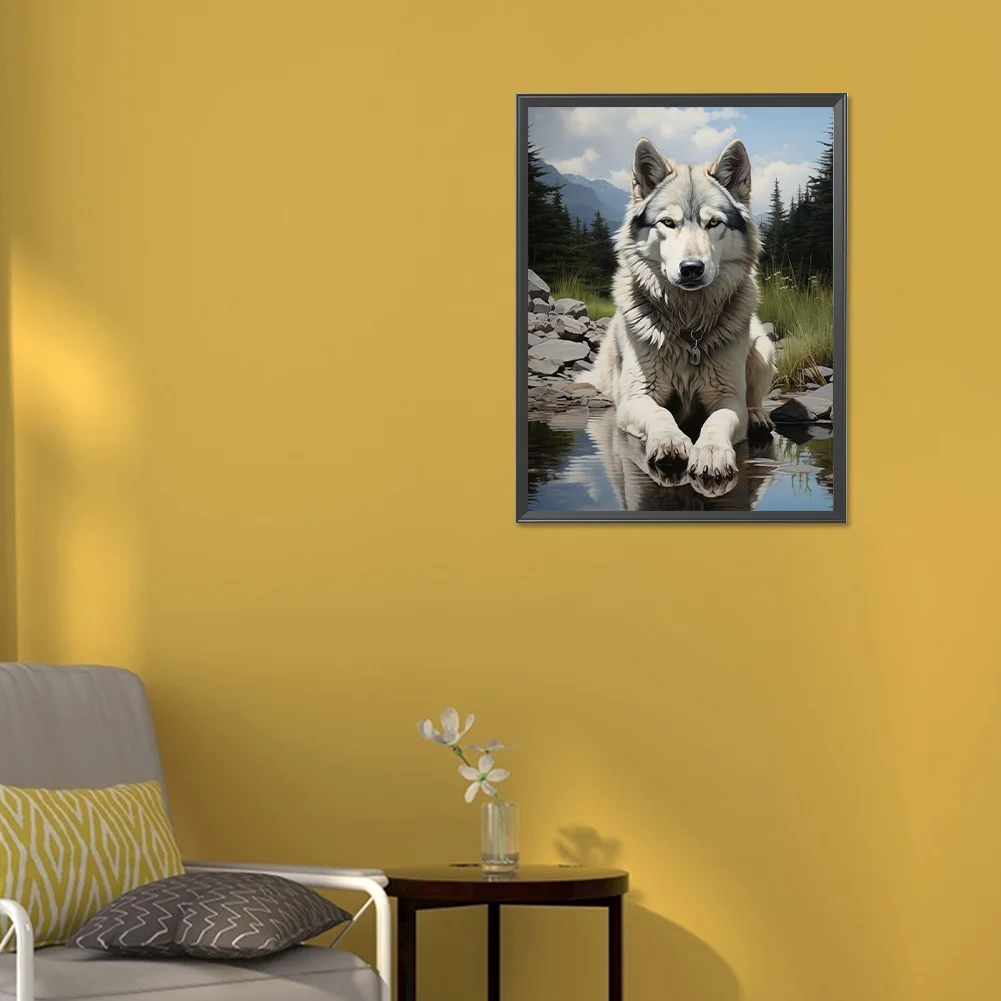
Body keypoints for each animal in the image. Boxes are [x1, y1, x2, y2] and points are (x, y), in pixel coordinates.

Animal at [581, 137, 776, 482]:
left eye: (714, 223)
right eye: (668, 223)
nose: (691, 269)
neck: (687, 324)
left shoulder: (727, 398)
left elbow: (717, 421)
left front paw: (711, 452)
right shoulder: (637, 398)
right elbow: (659, 413)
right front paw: (670, 441)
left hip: (762, 345)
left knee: (753, 396)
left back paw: (757, 416)